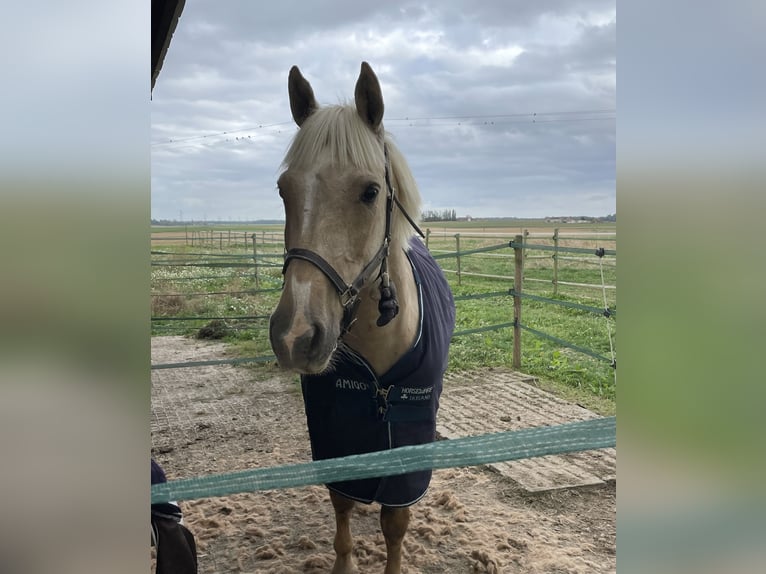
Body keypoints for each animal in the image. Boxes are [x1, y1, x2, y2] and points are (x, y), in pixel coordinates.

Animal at [270, 63, 456, 574]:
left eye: (370, 191)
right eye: (283, 190)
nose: (295, 336)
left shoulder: (408, 445)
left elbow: (395, 524)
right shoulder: (335, 433)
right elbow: (343, 508)